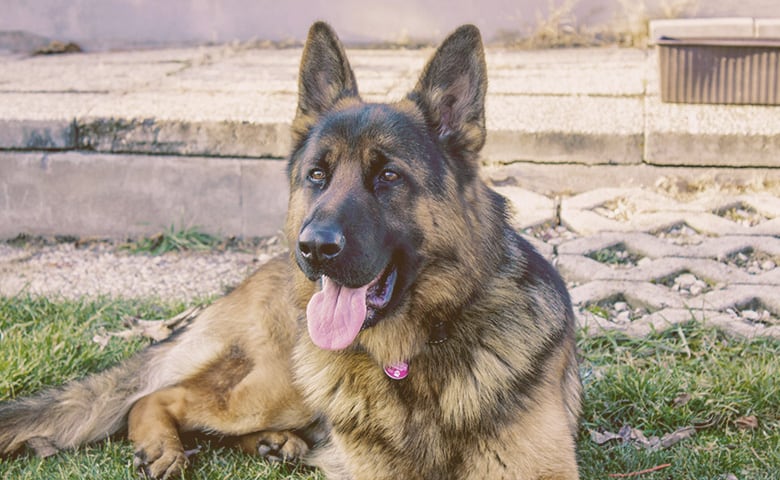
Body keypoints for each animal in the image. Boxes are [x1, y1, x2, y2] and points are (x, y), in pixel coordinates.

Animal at [0, 21, 580, 476]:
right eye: (317, 175)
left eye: (389, 176)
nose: (315, 248)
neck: (410, 355)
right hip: (280, 384)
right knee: (156, 398)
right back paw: (165, 446)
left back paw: (272, 444)